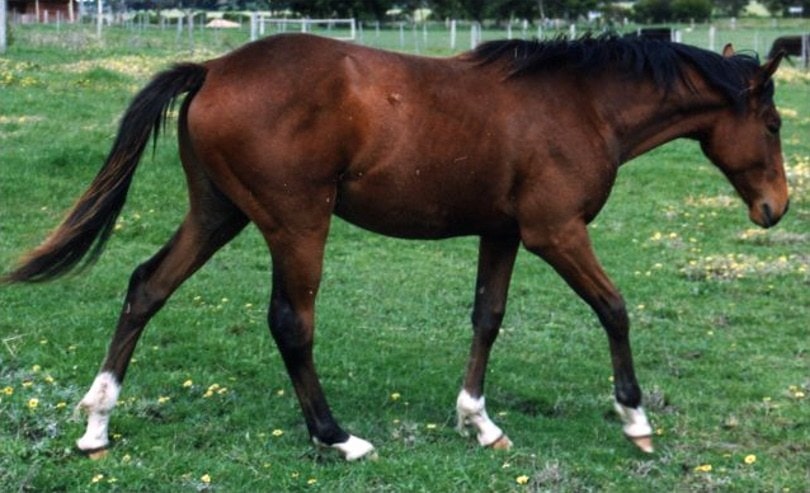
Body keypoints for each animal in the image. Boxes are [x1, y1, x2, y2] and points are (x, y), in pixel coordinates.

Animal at [2, 33, 788, 461]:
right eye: (777, 124)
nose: (775, 208)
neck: (579, 105)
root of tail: (214, 68)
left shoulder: (503, 232)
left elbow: (487, 318)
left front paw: (479, 422)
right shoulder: (556, 231)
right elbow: (615, 308)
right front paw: (636, 419)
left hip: (217, 214)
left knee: (146, 286)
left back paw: (97, 423)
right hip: (297, 223)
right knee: (291, 323)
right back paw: (336, 436)